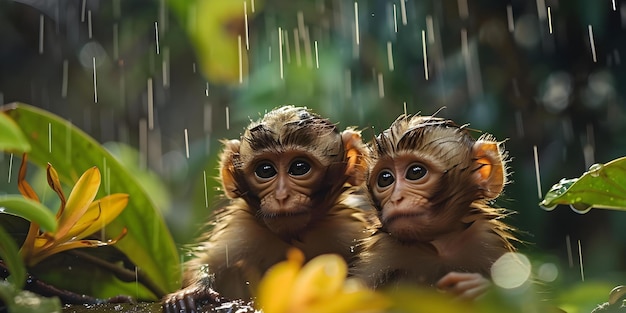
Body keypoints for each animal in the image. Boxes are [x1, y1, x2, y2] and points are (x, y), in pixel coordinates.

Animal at [163, 106, 372, 310]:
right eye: (265, 170)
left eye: (299, 167)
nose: (281, 196)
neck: (293, 237)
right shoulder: (242, 229)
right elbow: (208, 262)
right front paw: (192, 291)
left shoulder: (349, 230)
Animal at [352, 113, 516, 298]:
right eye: (385, 178)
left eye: (415, 172)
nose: (396, 199)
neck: (441, 246)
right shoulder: (381, 253)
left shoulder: (486, 238)